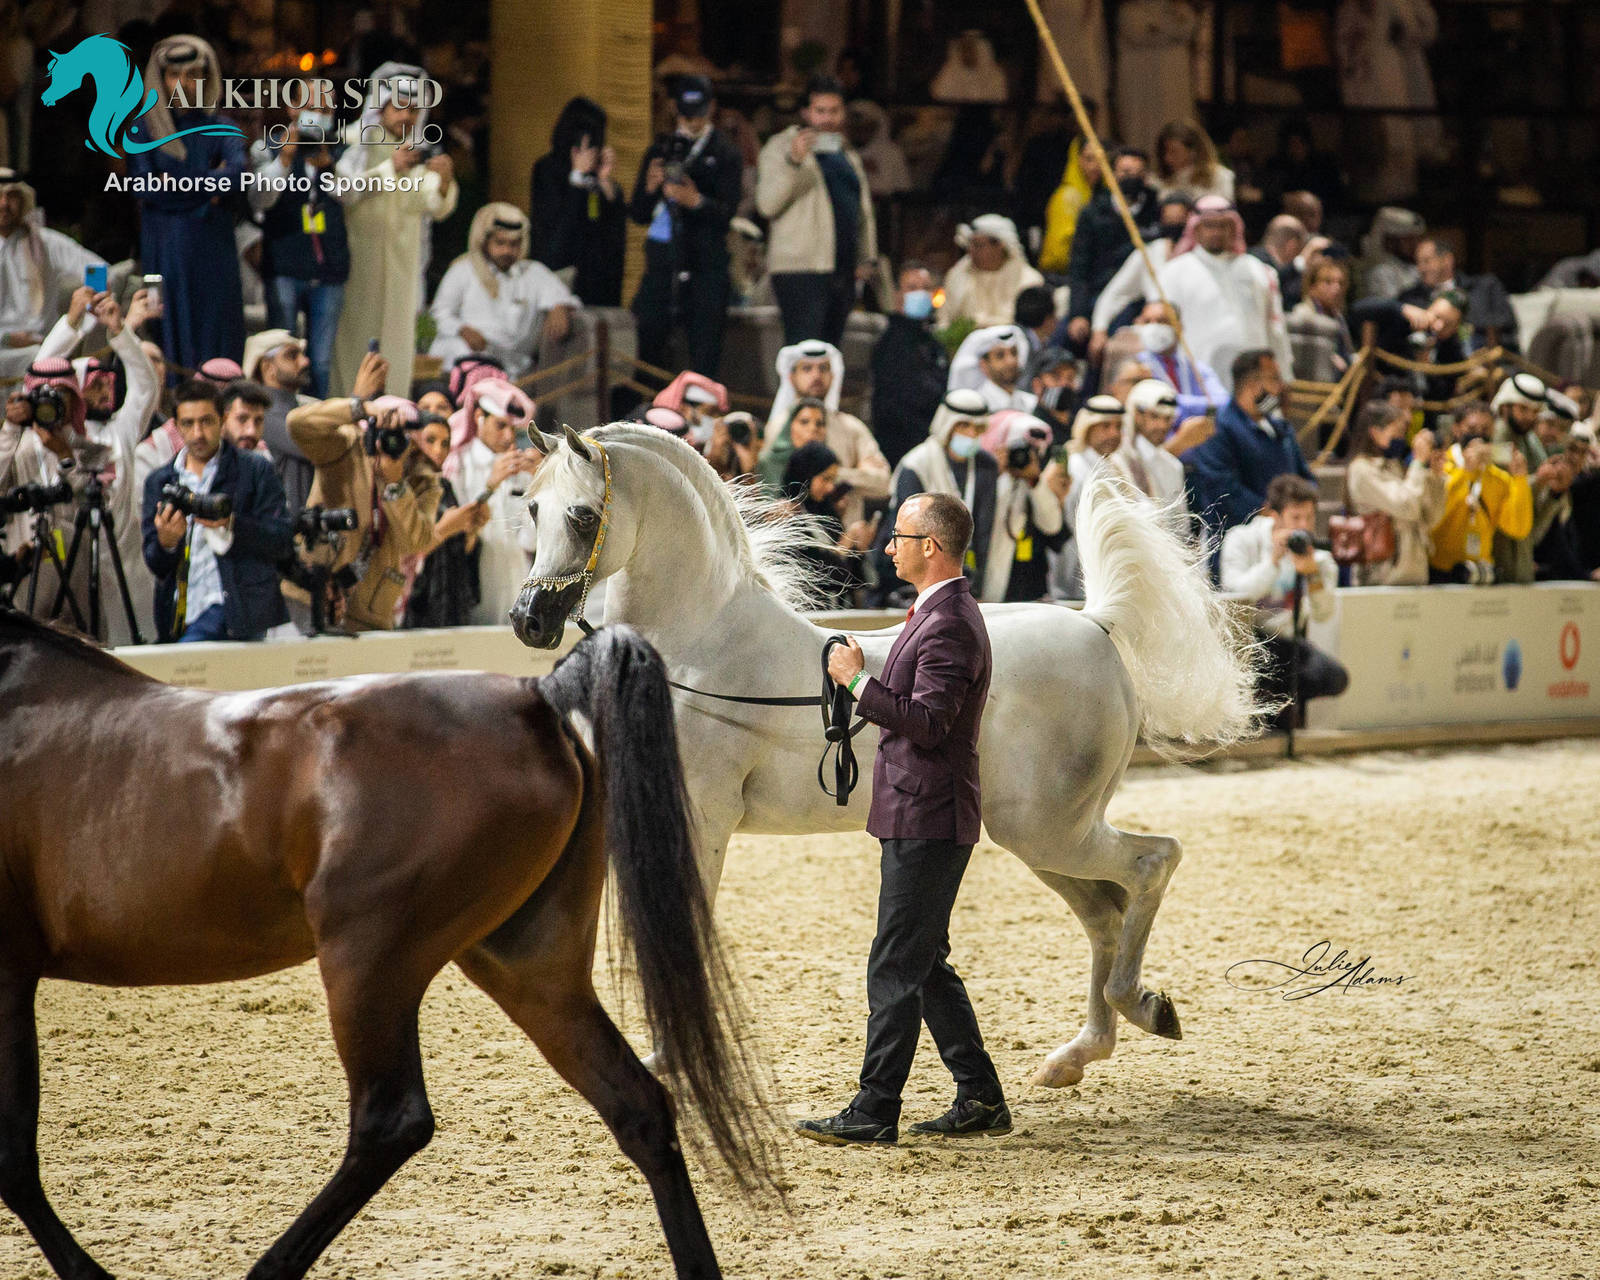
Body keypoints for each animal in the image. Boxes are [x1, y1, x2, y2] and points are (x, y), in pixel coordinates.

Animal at [0, 609, 771, 1280]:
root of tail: (533, 698)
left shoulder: (7, 976)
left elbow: (13, 1162)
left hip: (368, 962)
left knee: (390, 1121)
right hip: (529, 966)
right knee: (637, 1107)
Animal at [509, 424, 1264, 1090]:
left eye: (582, 515)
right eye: (532, 507)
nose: (528, 622)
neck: (698, 650)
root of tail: (1095, 625)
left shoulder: (702, 819)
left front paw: (668, 1059)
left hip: (1054, 830)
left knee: (1152, 864)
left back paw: (1143, 1008)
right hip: (1042, 837)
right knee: (1106, 913)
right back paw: (1075, 1055)